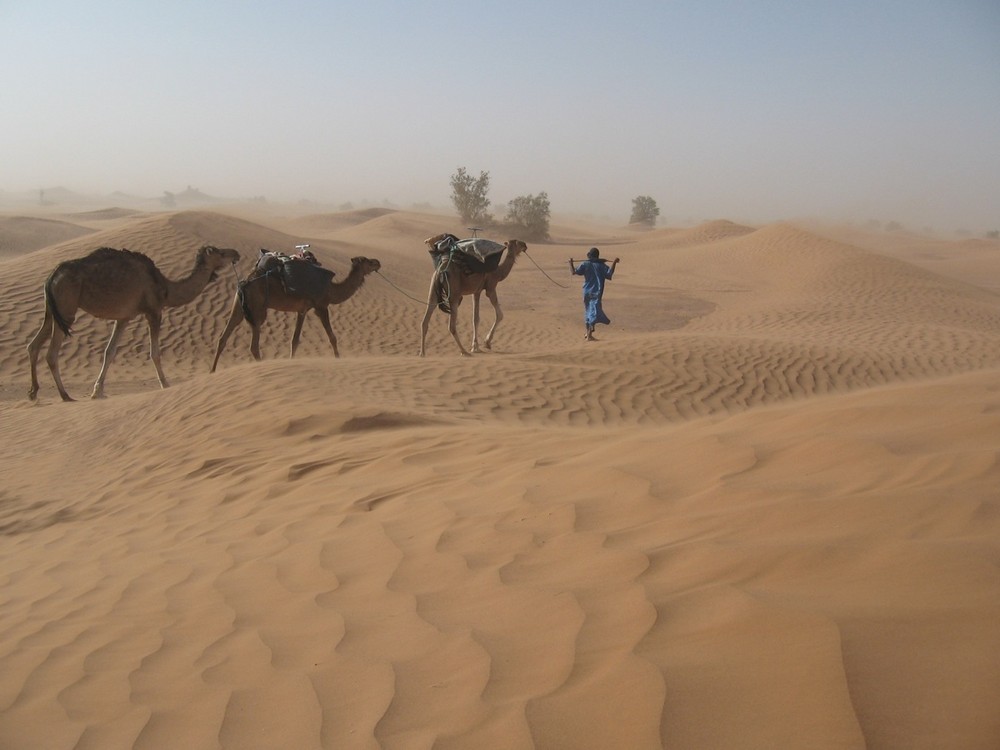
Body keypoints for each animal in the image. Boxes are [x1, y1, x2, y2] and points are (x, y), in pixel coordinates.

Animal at [28, 244, 240, 402]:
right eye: (221, 253)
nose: (236, 253)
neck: (166, 288)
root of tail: (52, 277)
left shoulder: (124, 317)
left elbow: (109, 352)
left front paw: (98, 391)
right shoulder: (154, 311)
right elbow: (154, 353)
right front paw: (165, 384)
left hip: (52, 311)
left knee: (33, 345)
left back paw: (34, 392)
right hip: (66, 309)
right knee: (51, 353)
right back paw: (65, 395)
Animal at [209, 254, 380, 372]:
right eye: (367, 261)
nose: (378, 262)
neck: (331, 290)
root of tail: (245, 282)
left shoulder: (302, 310)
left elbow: (295, 340)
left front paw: (292, 361)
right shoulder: (321, 306)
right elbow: (332, 337)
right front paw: (338, 359)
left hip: (238, 304)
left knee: (223, 338)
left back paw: (212, 371)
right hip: (257, 309)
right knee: (254, 346)